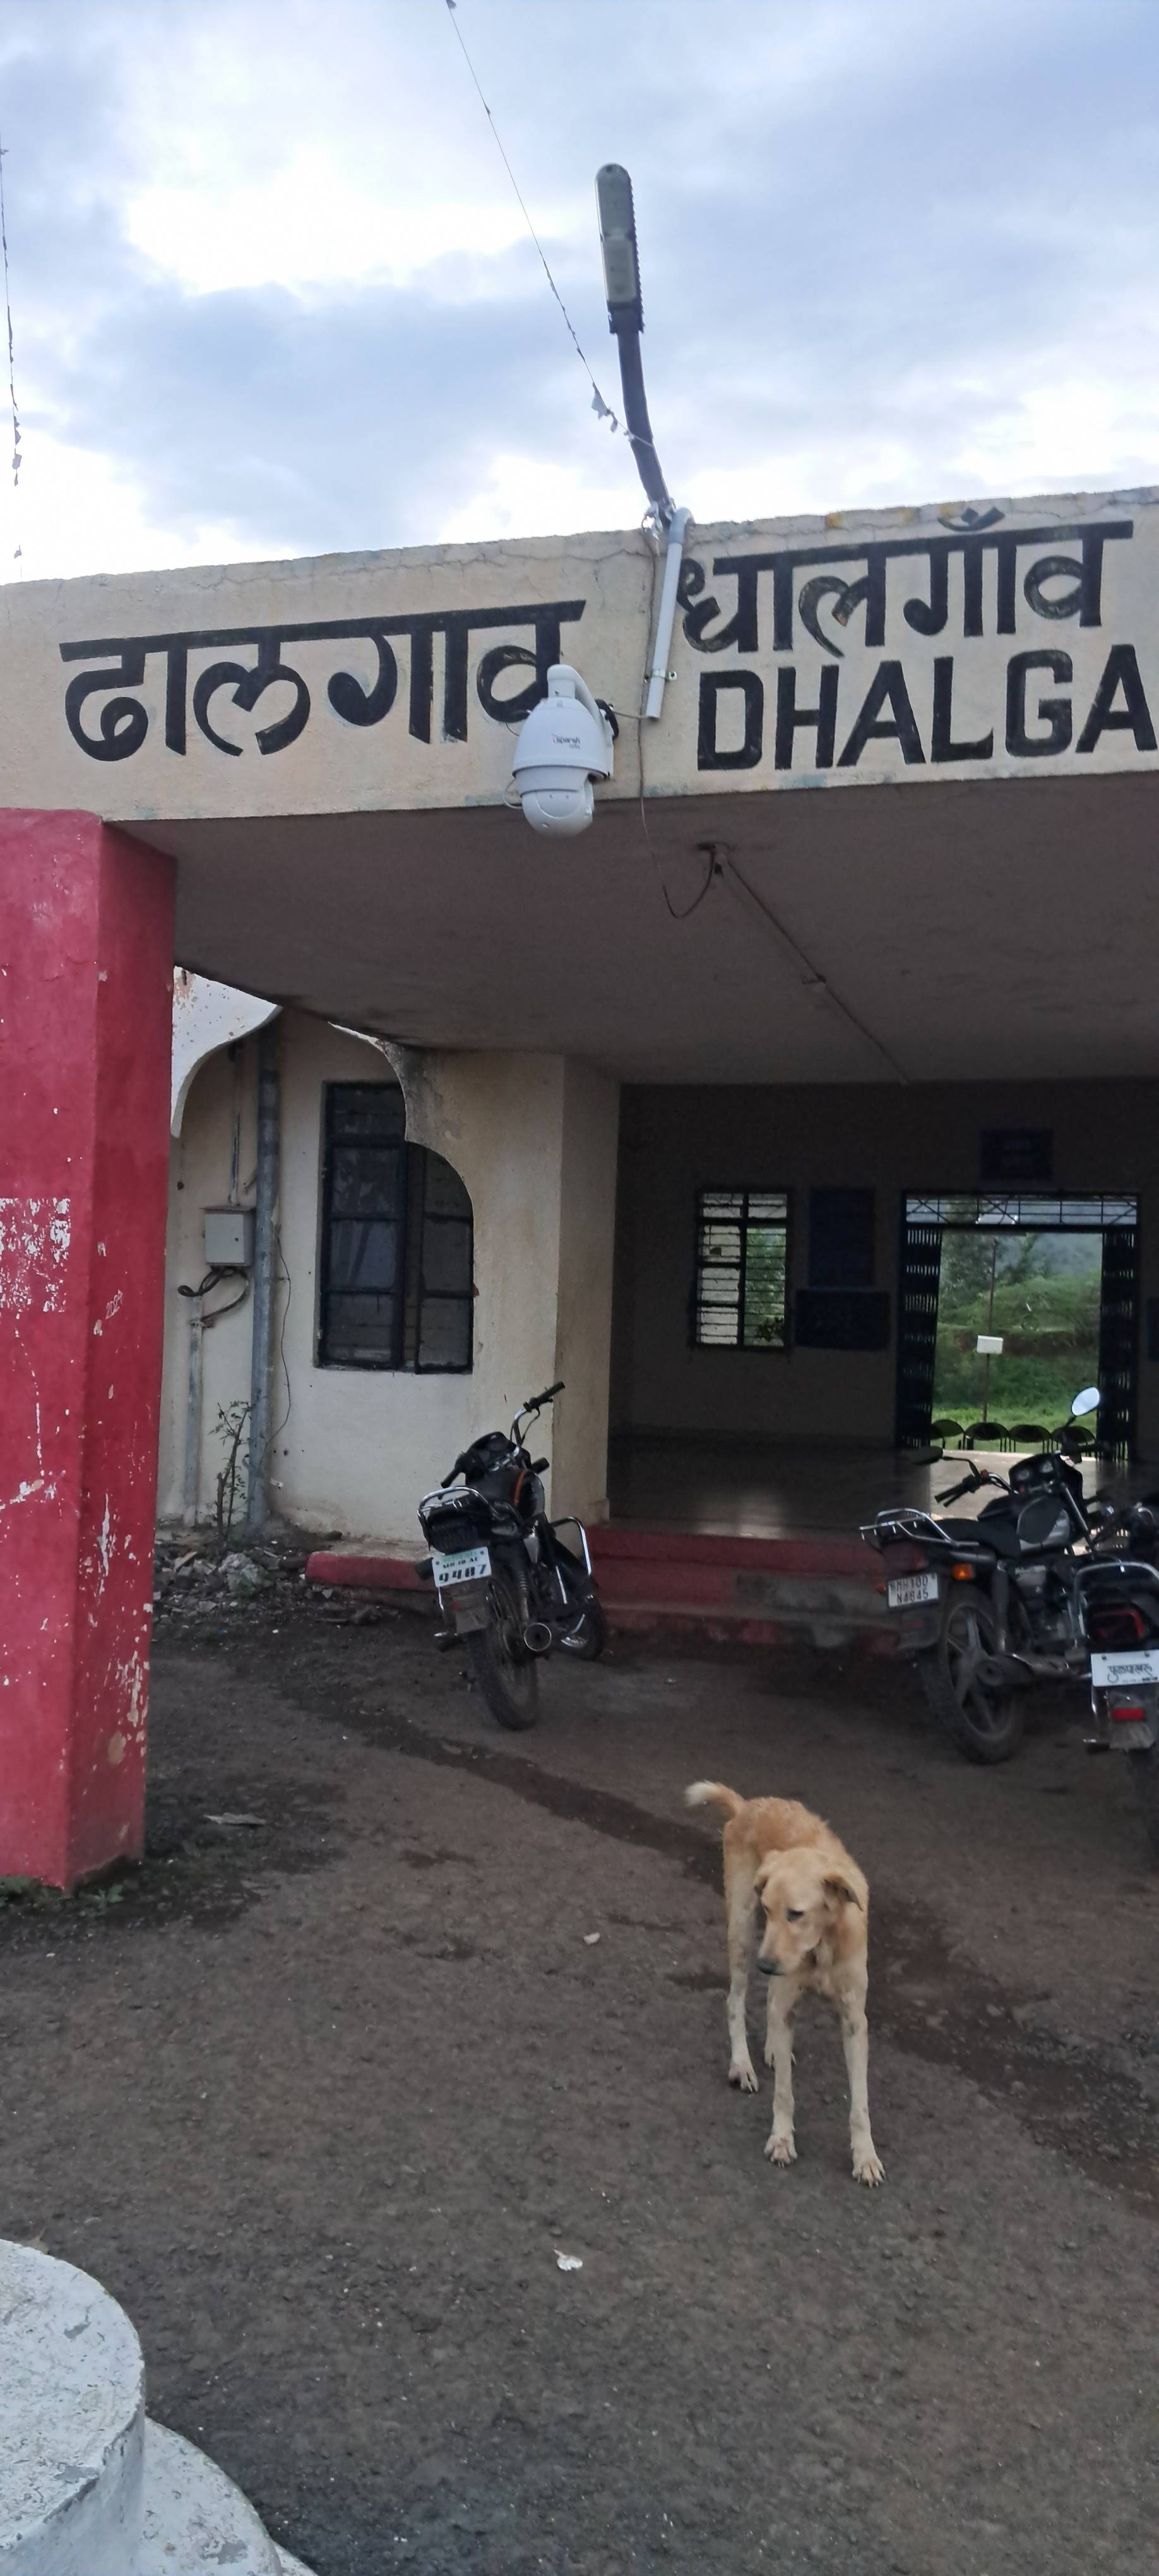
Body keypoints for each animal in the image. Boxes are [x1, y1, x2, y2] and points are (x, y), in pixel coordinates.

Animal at [685, 1781, 884, 2187]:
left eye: (796, 1914)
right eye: (769, 1909)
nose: (765, 1966)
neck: (821, 1946)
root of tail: (749, 1806)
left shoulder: (855, 2022)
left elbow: (860, 2103)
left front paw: (865, 2156)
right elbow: (784, 2093)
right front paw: (781, 2139)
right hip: (743, 1932)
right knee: (736, 2000)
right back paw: (742, 2064)